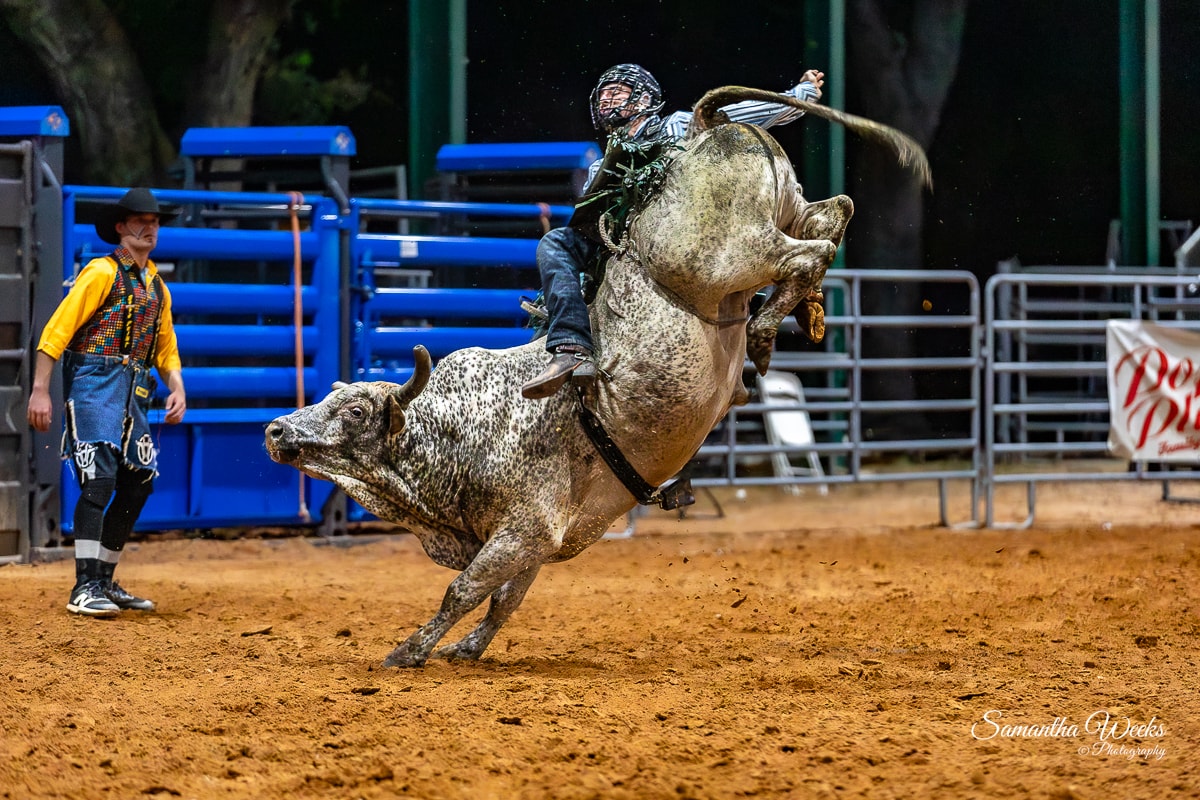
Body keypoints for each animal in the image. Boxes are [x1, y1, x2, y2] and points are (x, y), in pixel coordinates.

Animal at [265, 87, 929, 668]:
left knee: (806, 252)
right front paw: (466, 649)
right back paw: (800, 313)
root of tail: (700, 126)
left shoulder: (524, 527)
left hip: (731, 254)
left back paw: (767, 328)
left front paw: (410, 651)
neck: (459, 429)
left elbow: (466, 590)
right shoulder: (540, 538)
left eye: (355, 413)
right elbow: (503, 600)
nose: (276, 431)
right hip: (782, 211)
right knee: (832, 215)